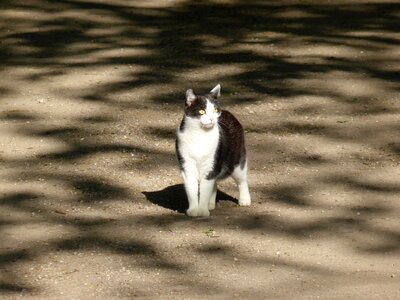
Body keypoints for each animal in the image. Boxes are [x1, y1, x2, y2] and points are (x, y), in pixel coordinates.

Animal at [175, 83, 250, 217]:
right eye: (201, 111)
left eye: (215, 110)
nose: (211, 118)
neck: (199, 137)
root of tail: (228, 113)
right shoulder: (187, 165)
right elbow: (192, 189)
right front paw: (194, 210)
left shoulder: (211, 164)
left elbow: (205, 190)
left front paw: (202, 211)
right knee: (214, 183)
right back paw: (211, 204)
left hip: (236, 161)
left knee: (242, 180)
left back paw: (245, 200)